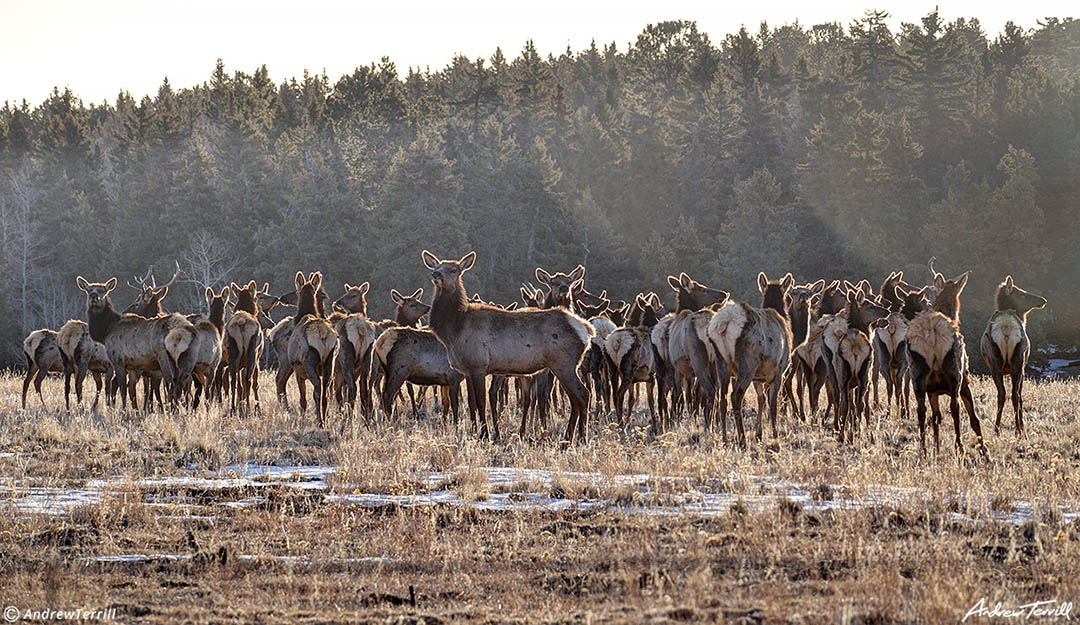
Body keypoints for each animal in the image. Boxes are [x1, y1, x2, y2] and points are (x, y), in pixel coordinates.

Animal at [76, 276, 198, 408]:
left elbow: (124, 390)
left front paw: (123, 410)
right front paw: (137, 410)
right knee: (179, 385)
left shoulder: (118, 360)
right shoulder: (133, 366)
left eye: (103, 291)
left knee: (172, 384)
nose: (94, 295)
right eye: (88, 290)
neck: (106, 331)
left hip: (165, 358)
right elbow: (132, 391)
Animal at [423, 250, 596, 444]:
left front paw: (485, 435)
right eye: (437, 266)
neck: (454, 329)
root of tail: (586, 329)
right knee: (577, 398)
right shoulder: (467, 370)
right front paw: (474, 432)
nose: (436, 274)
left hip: (563, 363)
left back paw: (578, 439)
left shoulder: (478, 365)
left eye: (453, 270)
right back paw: (570, 439)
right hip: (562, 366)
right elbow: (471, 402)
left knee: (583, 395)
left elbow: (481, 402)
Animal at [660, 276, 730, 433]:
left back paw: (709, 427)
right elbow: (692, 396)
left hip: (699, 361)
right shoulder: (689, 373)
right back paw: (717, 425)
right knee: (720, 393)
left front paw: (674, 422)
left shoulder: (677, 367)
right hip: (716, 363)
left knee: (711, 391)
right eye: (702, 289)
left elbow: (678, 396)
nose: (724, 293)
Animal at [708, 273, 794, 444]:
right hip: (747, 363)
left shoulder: (758, 378)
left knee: (722, 397)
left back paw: (725, 438)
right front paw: (775, 435)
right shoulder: (779, 371)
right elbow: (772, 404)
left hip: (721, 360)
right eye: (788, 296)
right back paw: (742, 440)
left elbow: (761, 400)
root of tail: (725, 323)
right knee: (736, 396)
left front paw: (759, 434)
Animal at [980, 276, 1045, 438]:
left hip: (997, 362)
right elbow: (1020, 395)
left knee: (1004, 394)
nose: (1043, 300)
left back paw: (998, 429)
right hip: (1017, 360)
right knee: (1015, 395)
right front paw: (1021, 426)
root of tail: (1006, 329)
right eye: (1022, 293)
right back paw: (1018, 430)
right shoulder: (1023, 367)